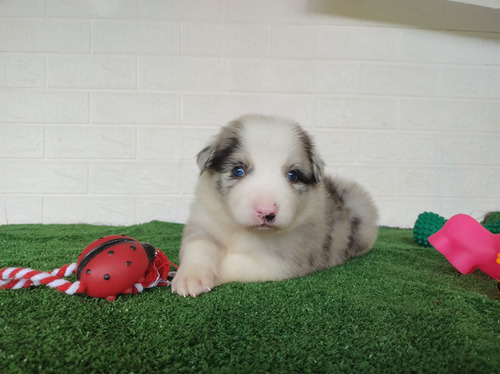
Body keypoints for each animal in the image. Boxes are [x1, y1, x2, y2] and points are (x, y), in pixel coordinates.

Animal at [173, 115, 378, 296]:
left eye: (292, 175)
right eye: (238, 171)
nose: (266, 211)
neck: (241, 230)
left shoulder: (277, 261)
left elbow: (232, 264)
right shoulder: (204, 223)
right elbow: (199, 245)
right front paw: (190, 277)